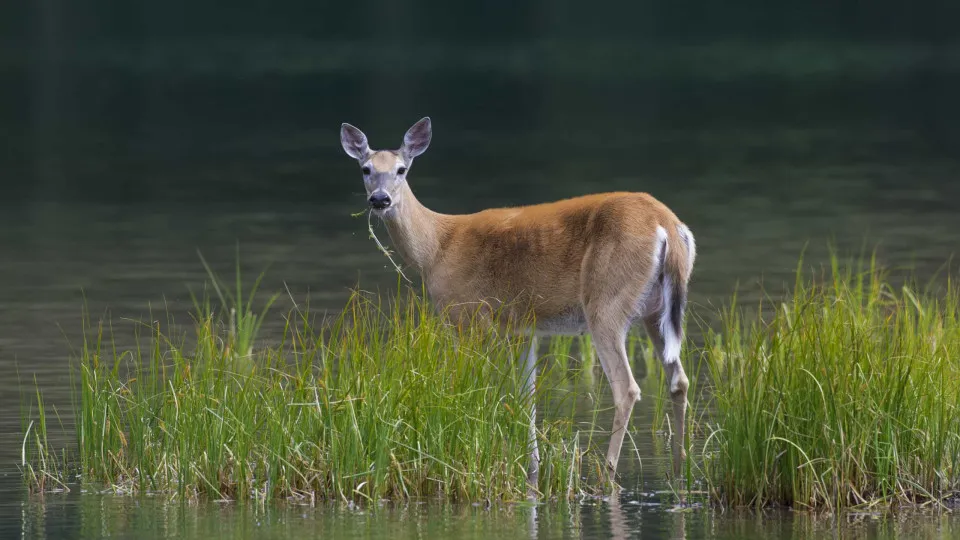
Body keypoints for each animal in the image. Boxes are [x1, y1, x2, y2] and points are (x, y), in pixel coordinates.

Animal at [342, 117, 692, 486]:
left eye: (401, 169)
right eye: (366, 169)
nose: (379, 200)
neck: (436, 247)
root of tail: (667, 224)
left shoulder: (466, 315)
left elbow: (469, 388)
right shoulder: (523, 329)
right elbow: (527, 395)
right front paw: (531, 467)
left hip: (606, 301)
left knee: (626, 388)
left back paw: (607, 475)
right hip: (655, 311)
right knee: (679, 380)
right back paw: (678, 471)